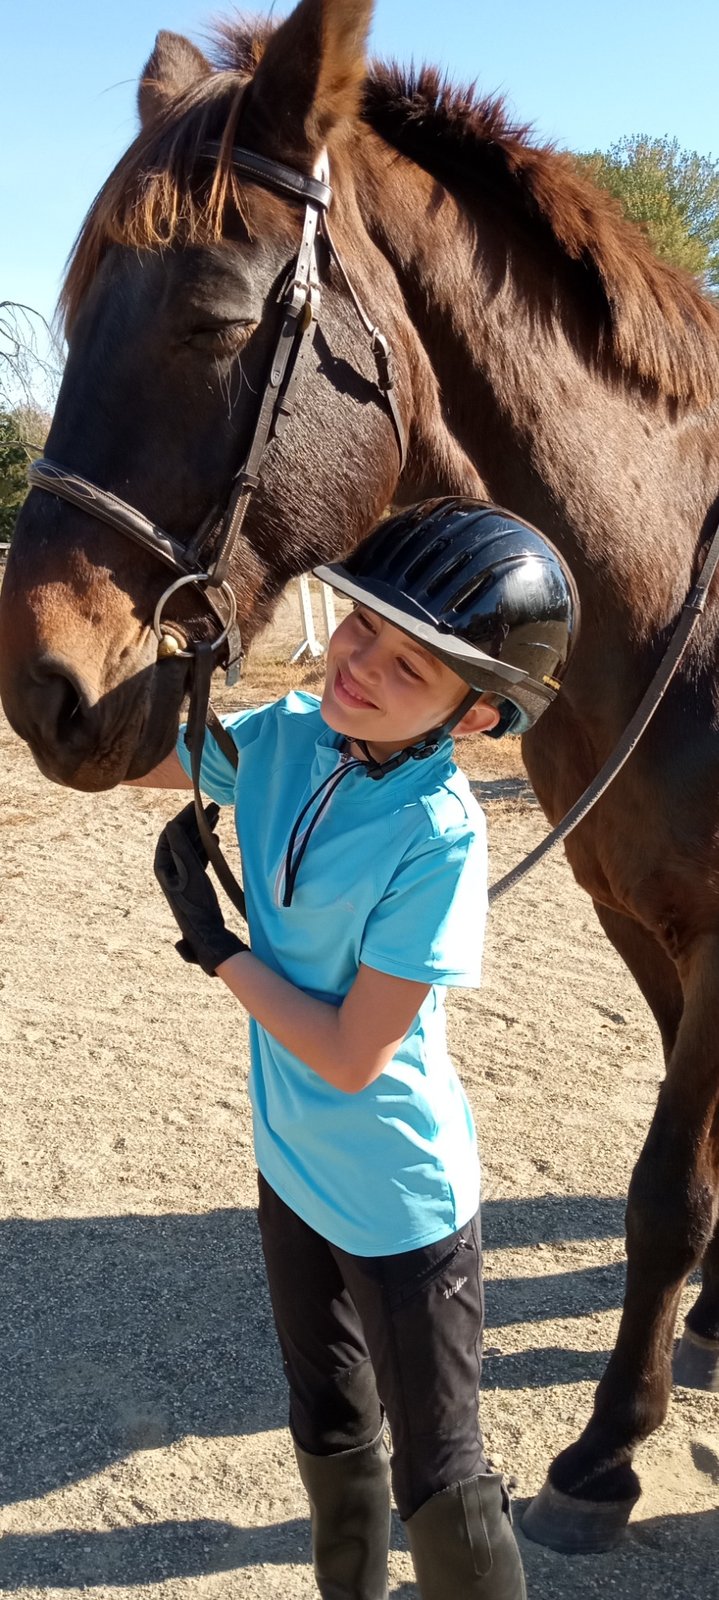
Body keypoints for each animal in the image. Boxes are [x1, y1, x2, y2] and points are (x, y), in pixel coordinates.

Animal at [1, 0, 719, 1556]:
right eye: (77, 319)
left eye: (215, 318)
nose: (42, 691)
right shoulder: (637, 915)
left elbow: (663, 1195)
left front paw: (605, 1453)